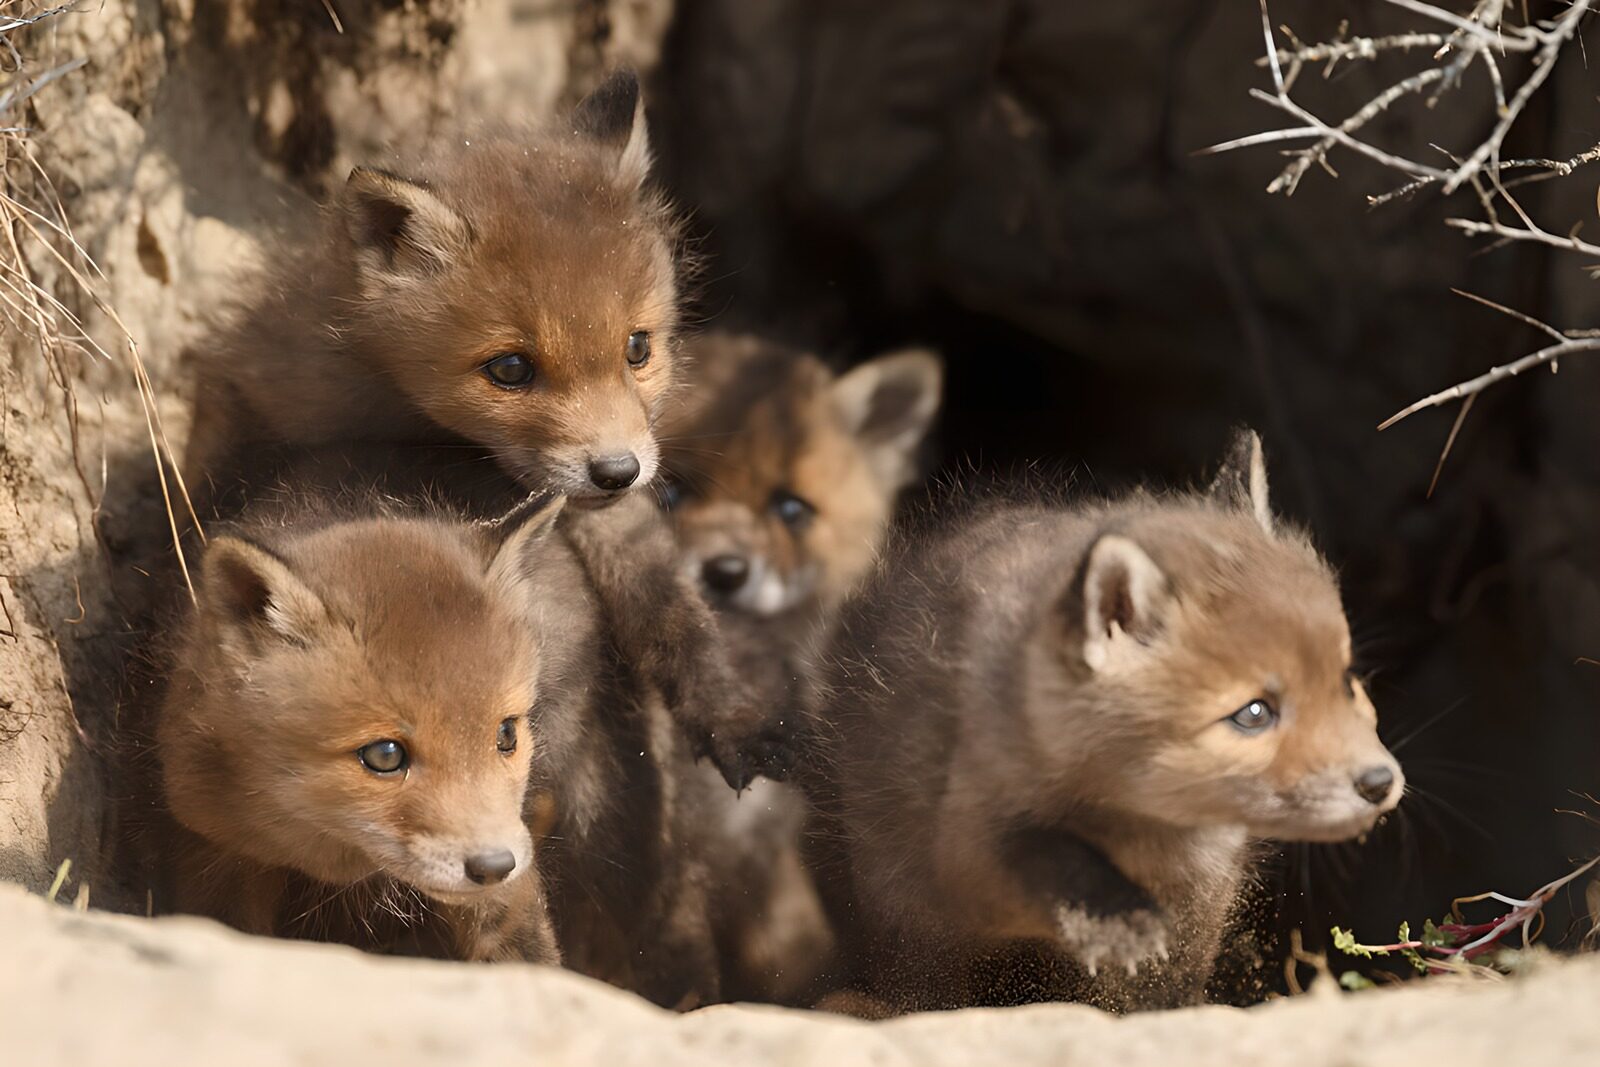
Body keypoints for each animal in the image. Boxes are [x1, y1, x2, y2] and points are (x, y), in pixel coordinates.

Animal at [179, 69, 787, 790]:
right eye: (511, 369)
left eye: (637, 349)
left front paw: (728, 711)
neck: (413, 418)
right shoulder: (255, 389)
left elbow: (668, 605)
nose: (618, 473)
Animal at [799, 430, 1405, 1013]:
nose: (1380, 782)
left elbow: (1166, 995)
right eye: (1254, 714)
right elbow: (1052, 857)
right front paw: (1116, 920)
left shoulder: (1201, 902)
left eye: (1346, 680)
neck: (1144, 826)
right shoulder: (965, 846)